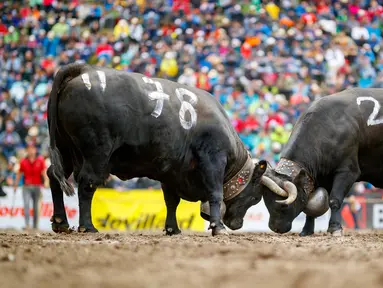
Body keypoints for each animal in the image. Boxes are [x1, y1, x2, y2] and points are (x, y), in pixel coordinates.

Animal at [46, 63, 272, 236]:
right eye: (255, 197)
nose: (237, 225)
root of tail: (83, 69)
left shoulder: (171, 170)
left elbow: (171, 201)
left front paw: (173, 228)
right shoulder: (213, 159)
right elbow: (215, 193)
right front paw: (218, 227)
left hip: (65, 149)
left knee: (54, 176)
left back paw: (60, 222)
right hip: (96, 153)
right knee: (87, 183)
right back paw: (87, 226)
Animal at [255, 88, 383, 236]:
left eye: (284, 205)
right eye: (266, 202)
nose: (275, 228)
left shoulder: (347, 172)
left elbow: (334, 200)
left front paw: (335, 228)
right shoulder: (318, 177)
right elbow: (310, 206)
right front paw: (306, 230)